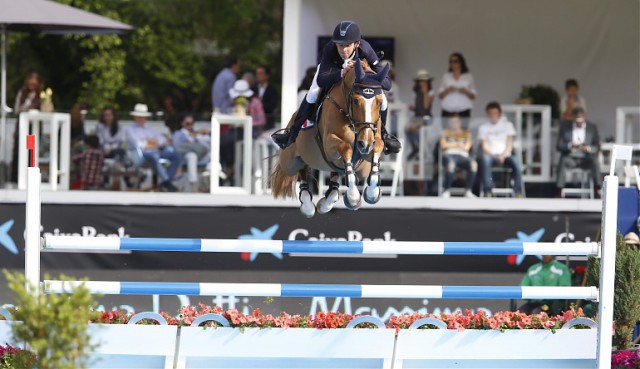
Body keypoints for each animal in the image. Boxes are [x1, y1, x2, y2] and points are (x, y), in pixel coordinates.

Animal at [270, 59, 390, 217]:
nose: (365, 144)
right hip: (289, 162)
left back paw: (326, 203)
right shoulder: (328, 145)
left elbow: (377, 146)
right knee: (301, 169)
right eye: (355, 101)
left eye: (379, 102)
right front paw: (353, 197)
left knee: (333, 175)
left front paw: (372, 193)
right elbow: (345, 147)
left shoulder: (369, 148)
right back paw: (308, 205)